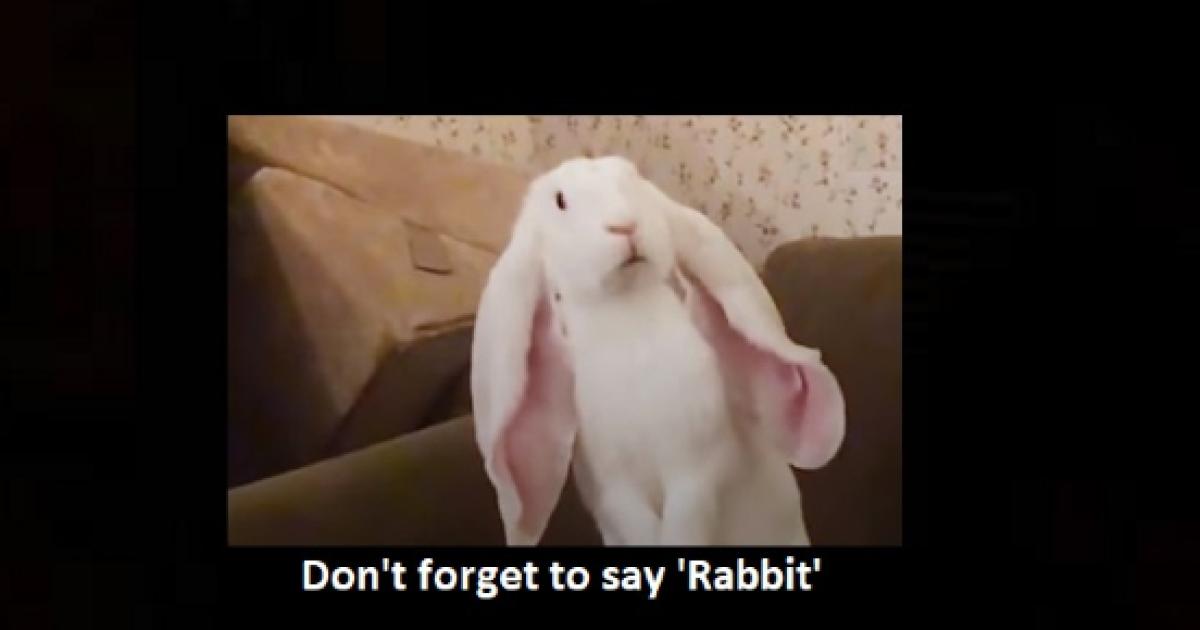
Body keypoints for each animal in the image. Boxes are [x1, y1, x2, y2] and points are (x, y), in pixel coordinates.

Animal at [471, 155, 846, 546]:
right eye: (560, 201)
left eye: (634, 178)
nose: (624, 225)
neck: (628, 314)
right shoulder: (615, 491)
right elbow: (638, 526)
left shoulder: (695, 473)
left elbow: (684, 525)